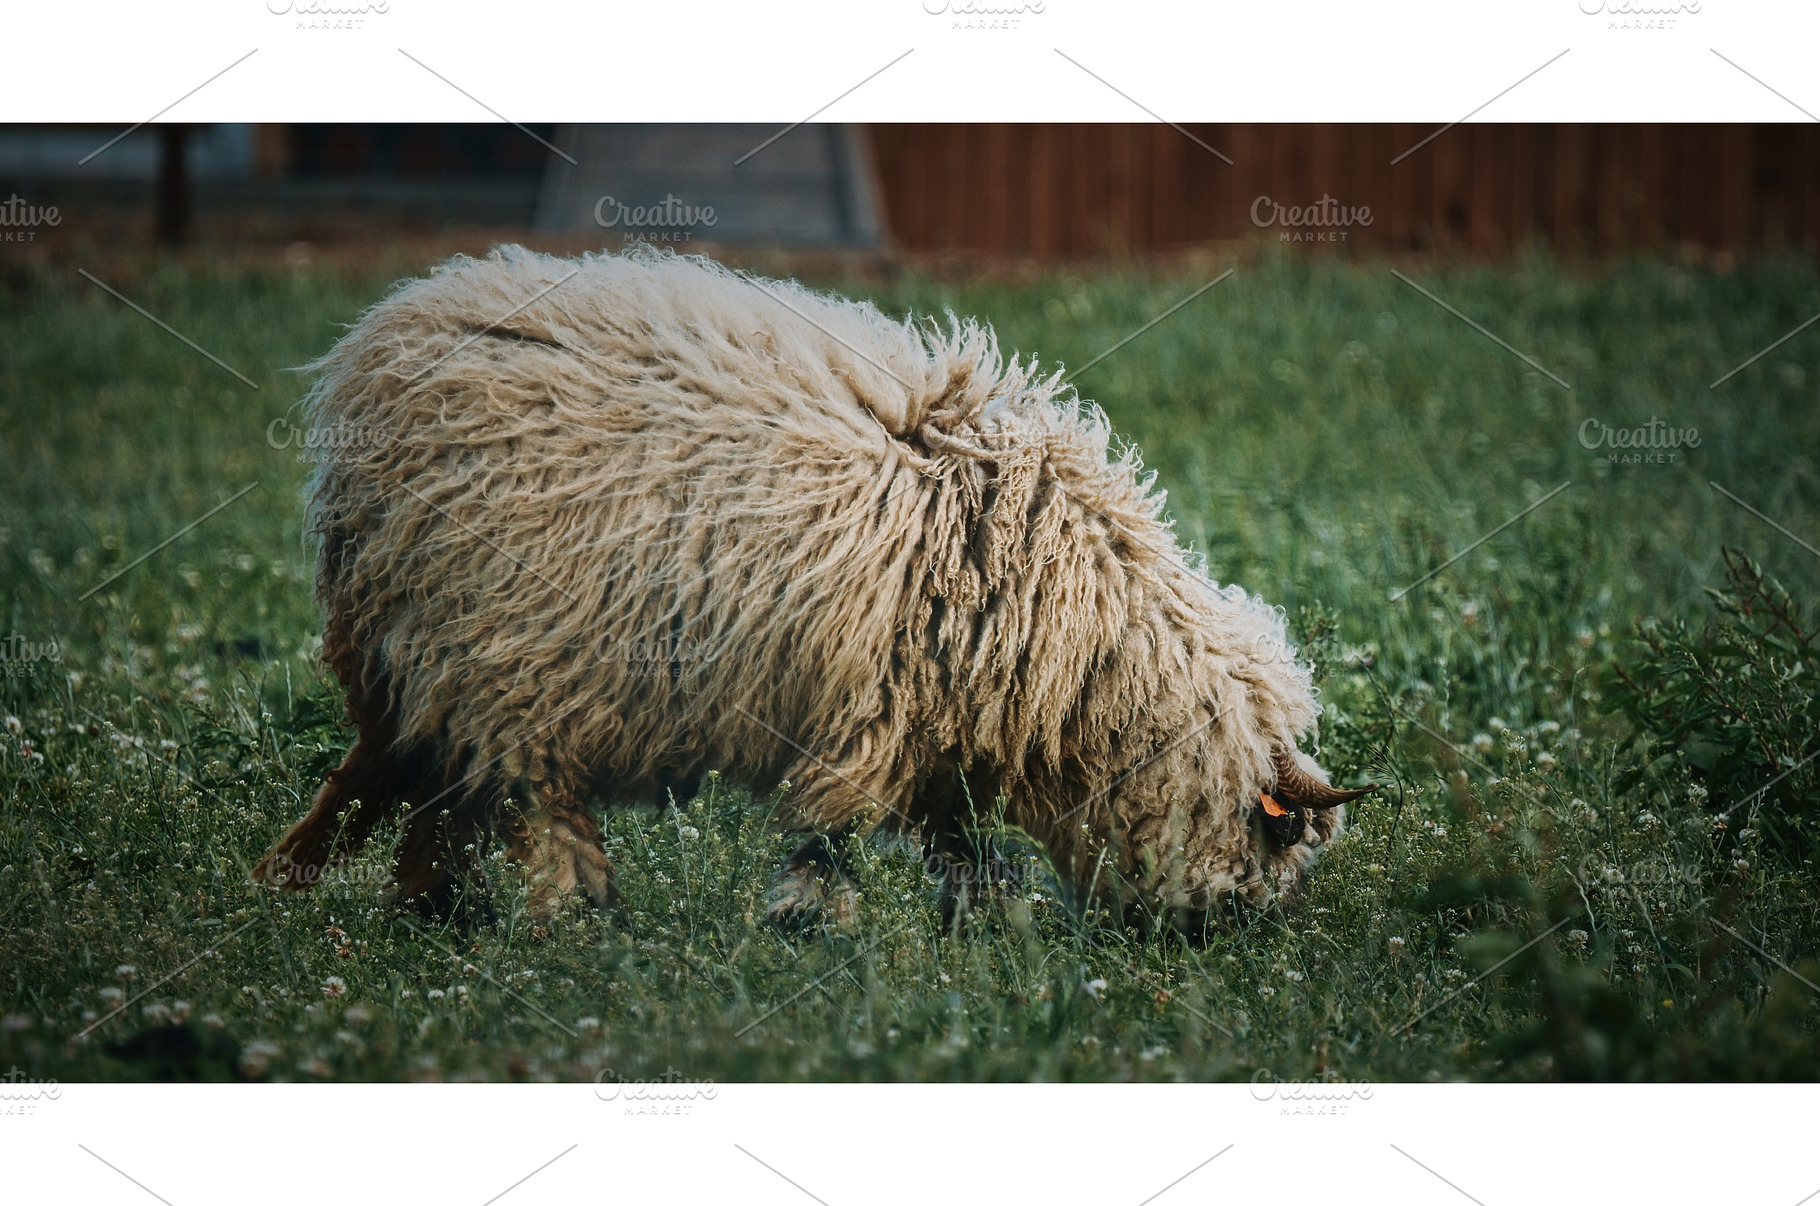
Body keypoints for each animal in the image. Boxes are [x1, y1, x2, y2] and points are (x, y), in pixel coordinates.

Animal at [254, 244, 1375, 925]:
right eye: (1274, 841)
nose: (1229, 942)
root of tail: (377, 350)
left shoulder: (938, 734)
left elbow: (959, 847)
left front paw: (983, 926)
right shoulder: (877, 711)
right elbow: (832, 838)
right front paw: (811, 924)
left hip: (410, 649)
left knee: (395, 776)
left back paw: (347, 896)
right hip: (501, 653)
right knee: (519, 795)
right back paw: (570, 917)